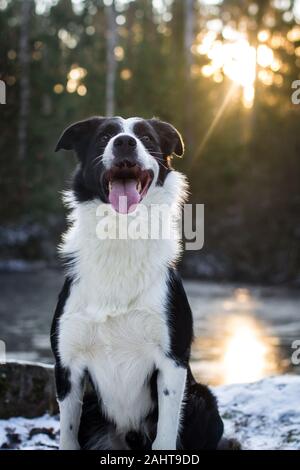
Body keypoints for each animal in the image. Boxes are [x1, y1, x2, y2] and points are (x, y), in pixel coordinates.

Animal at [51, 115, 224, 450]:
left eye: (146, 137)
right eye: (104, 135)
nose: (124, 142)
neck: (122, 233)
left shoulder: (172, 360)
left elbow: (165, 437)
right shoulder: (67, 365)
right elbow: (67, 436)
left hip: (202, 399)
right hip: (92, 407)